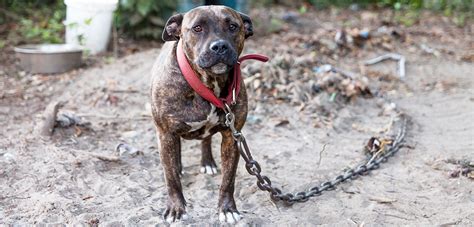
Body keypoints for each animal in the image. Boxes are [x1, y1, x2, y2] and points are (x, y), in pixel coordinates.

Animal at [151, 5, 254, 223]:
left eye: (233, 26)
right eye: (197, 28)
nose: (219, 46)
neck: (207, 84)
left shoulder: (232, 137)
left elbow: (228, 179)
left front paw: (227, 209)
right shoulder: (165, 134)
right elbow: (170, 178)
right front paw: (176, 208)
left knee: (206, 140)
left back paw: (207, 162)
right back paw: (179, 166)